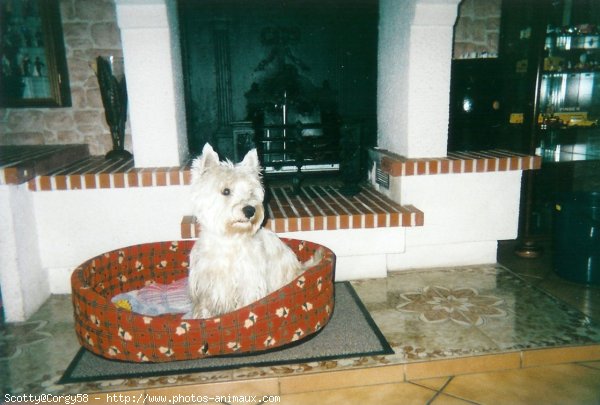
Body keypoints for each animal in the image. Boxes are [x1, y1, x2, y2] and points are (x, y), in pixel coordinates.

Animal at [189, 144, 310, 318]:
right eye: (226, 191)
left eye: (251, 192)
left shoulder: (249, 286)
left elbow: (245, 307)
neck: (229, 239)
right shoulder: (206, 289)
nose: (250, 210)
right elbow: (204, 310)